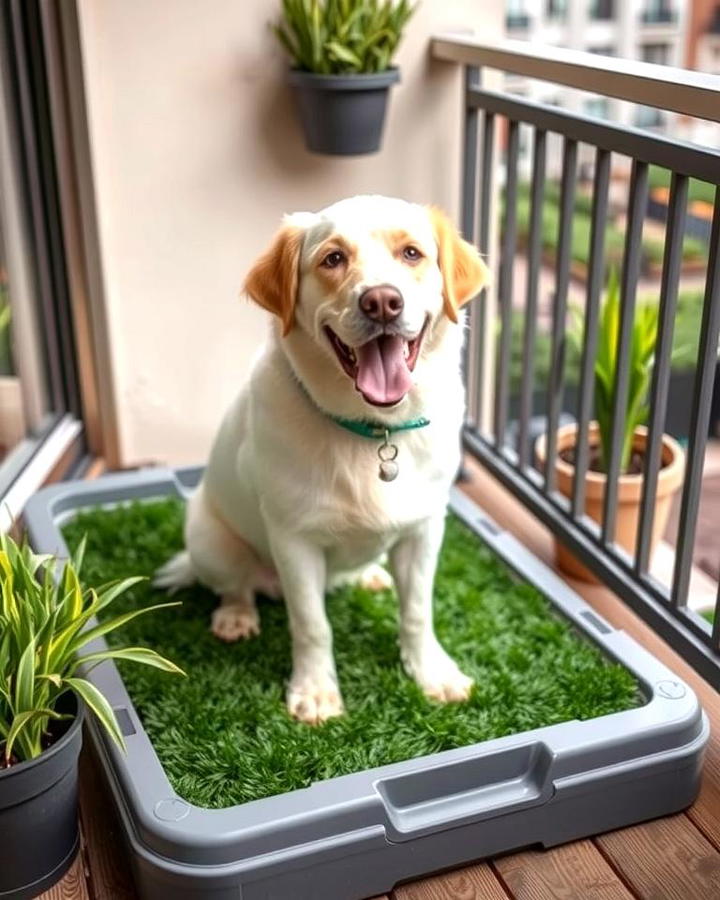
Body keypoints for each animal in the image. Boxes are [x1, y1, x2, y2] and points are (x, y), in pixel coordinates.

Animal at [157, 195, 490, 724]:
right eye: (333, 258)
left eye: (412, 253)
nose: (382, 301)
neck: (374, 431)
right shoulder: (294, 540)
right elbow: (312, 625)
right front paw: (315, 692)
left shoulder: (425, 528)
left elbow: (418, 611)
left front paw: (431, 674)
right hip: (208, 537)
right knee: (235, 585)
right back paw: (236, 616)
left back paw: (370, 576)